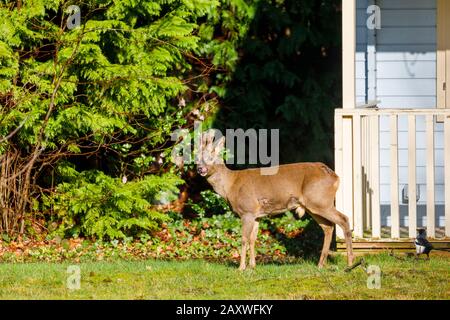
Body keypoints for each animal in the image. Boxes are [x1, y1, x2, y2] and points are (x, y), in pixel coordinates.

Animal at [195, 131, 354, 270]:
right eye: (196, 157)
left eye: (212, 154)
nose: (200, 169)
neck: (230, 185)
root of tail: (335, 177)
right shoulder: (256, 214)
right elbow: (253, 239)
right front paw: (252, 266)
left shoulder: (247, 210)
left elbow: (244, 238)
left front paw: (241, 268)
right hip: (314, 205)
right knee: (328, 226)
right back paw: (321, 264)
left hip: (320, 200)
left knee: (343, 219)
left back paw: (350, 262)